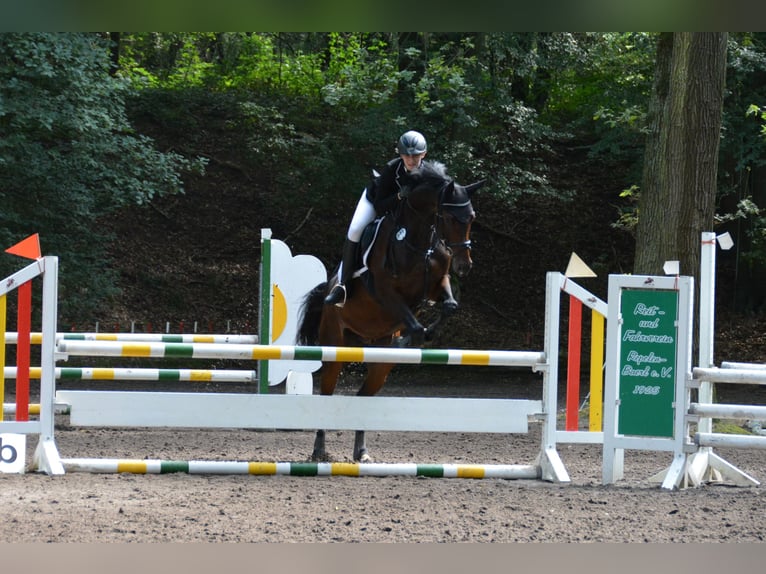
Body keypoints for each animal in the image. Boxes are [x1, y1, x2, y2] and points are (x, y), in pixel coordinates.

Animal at [296, 161, 484, 464]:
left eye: (471, 218)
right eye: (450, 217)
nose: (464, 266)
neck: (418, 241)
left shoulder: (438, 284)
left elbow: (449, 306)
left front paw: (424, 335)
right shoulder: (385, 292)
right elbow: (415, 324)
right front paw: (414, 337)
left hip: (379, 362)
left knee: (364, 397)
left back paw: (361, 452)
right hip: (334, 345)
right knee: (327, 393)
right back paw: (319, 451)